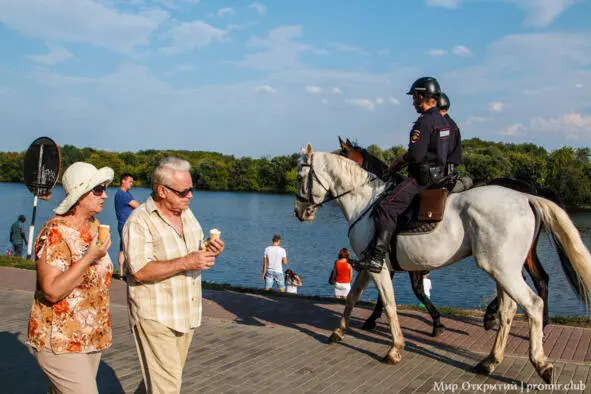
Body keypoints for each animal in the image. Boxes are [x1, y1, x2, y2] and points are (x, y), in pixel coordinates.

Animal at [292, 144, 591, 382]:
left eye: (300, 177)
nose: (298, 212)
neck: (366, 201)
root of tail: (527, 196)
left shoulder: (381, 267)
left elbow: (389, 304)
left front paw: (395, 347)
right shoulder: (373, 267)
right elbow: (354, 297)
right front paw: (339, 331)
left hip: (503, 269)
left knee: (533, 302)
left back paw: (541, 362)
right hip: (502, 270)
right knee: (510, 308)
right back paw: (490, 359)